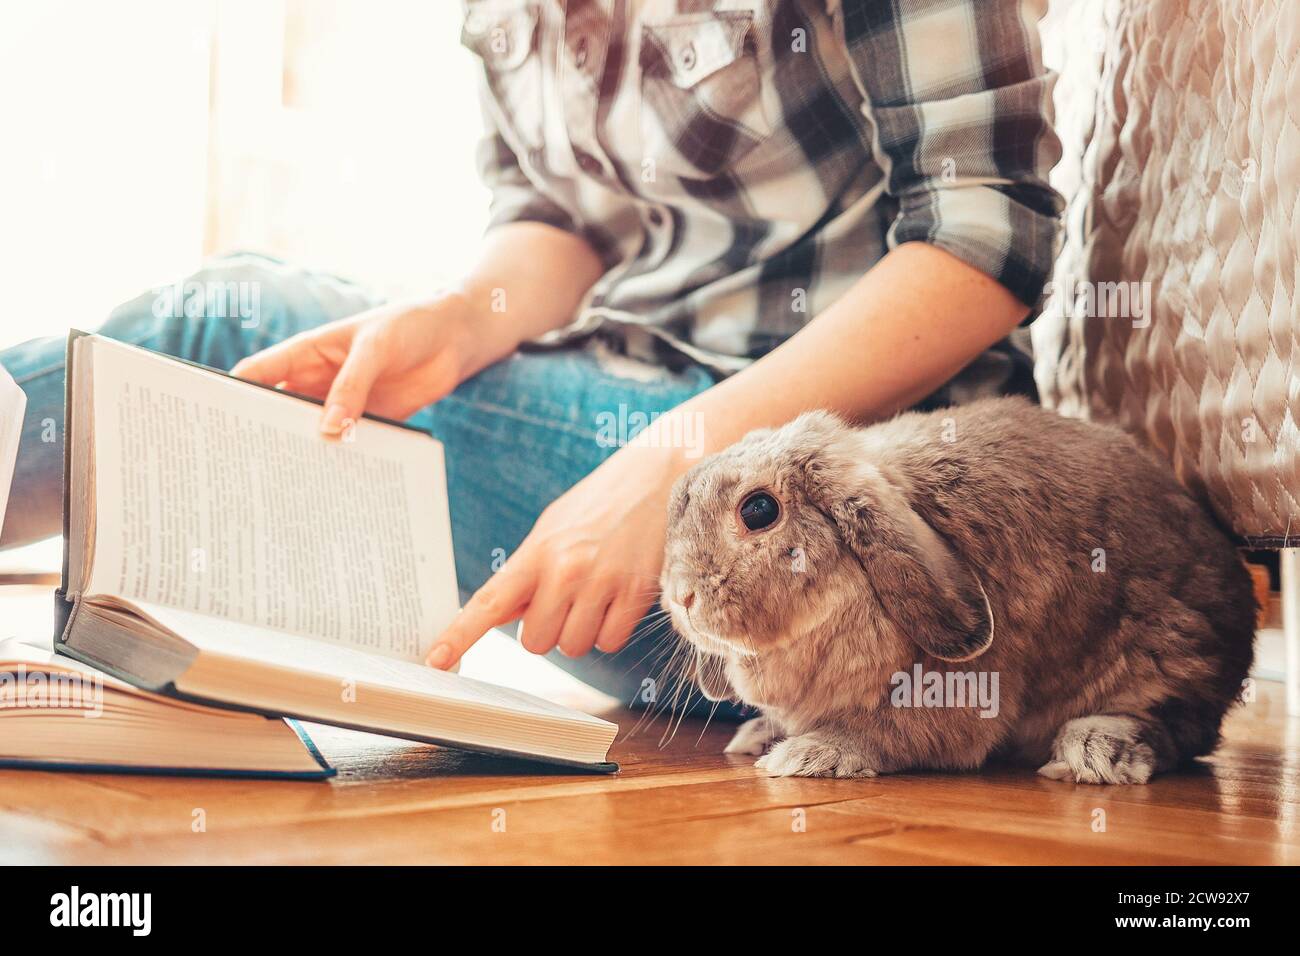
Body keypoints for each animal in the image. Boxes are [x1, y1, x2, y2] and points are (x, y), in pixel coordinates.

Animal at [659, 397, 1257, 784]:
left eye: (759, 510)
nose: (681, 598)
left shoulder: (949, 695)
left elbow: (885, 734)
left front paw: (805, 755)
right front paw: (759, 737)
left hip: (1168, 654)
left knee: (1178, 728)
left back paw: (1095, 752)